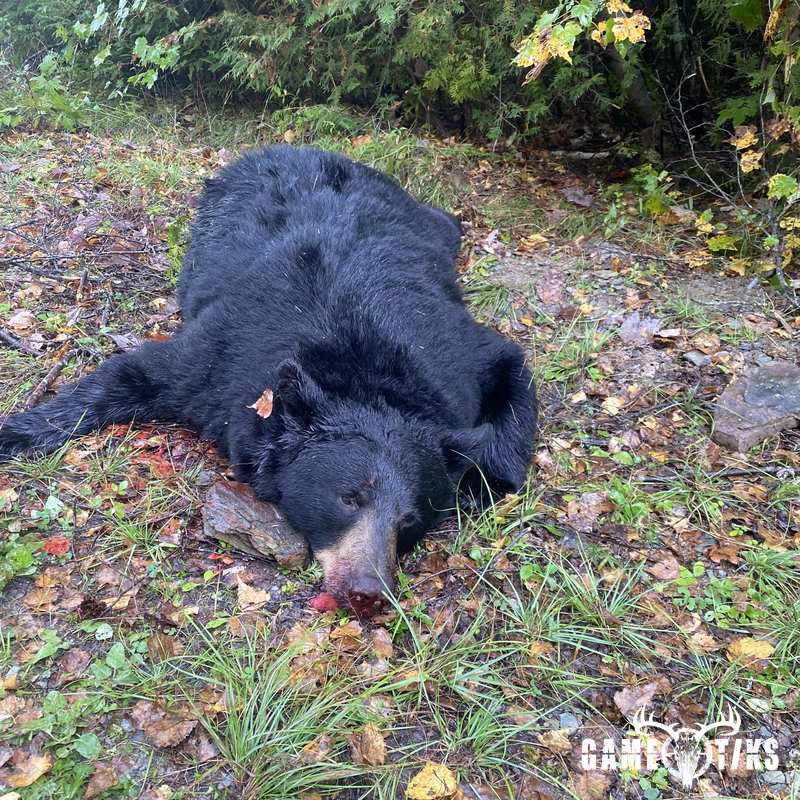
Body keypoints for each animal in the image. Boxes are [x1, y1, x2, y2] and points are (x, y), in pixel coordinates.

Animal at [0, 145, 537, 611]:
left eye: (410, 520)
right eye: (349, 497)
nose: (367, 591)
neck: (360, 374)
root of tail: (300, 147)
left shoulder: (450, 354)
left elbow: (509, 368)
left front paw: (483, 478)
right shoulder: (225, 355)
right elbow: (132, 373)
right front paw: (17, 430)